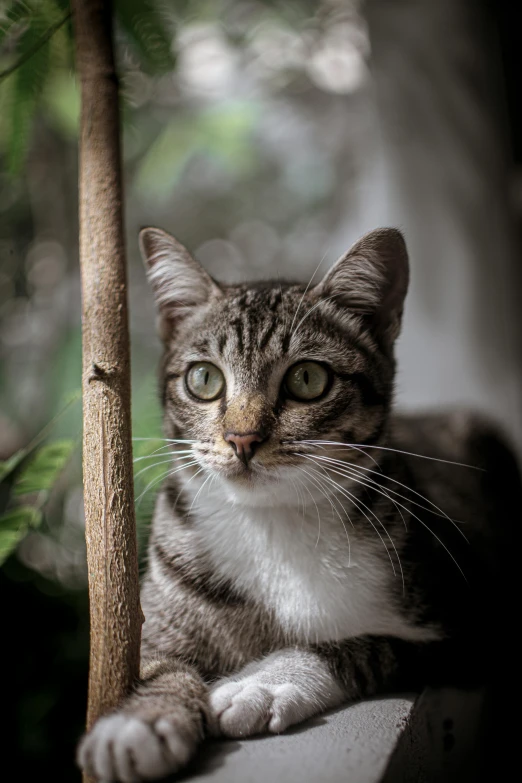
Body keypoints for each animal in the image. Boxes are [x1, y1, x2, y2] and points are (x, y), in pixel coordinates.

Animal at [76, 227, 516, 783]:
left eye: (307, 379)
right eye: (203, 379)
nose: (242, 438)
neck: (274, 526)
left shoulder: (471, 624)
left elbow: (370, 644)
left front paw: (264, 682)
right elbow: (152, 660)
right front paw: (138, 718)